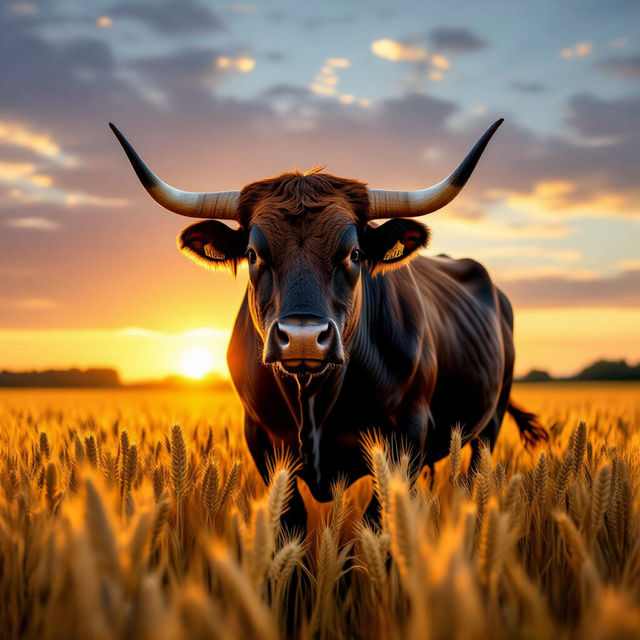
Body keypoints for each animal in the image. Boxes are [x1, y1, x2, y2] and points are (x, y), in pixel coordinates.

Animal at [110, 119, 548, 518]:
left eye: (353, 254)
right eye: (253, 254)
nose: (303, 337)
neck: (313, 401)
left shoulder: (406, 438)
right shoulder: (264, 442)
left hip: (488, 426)